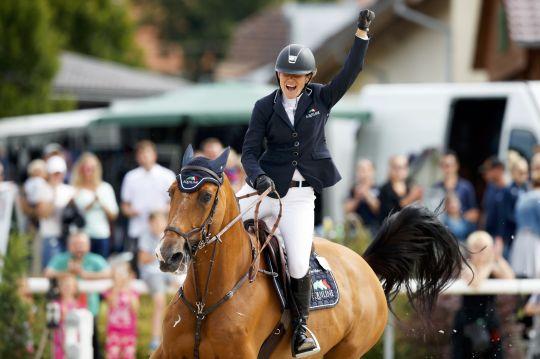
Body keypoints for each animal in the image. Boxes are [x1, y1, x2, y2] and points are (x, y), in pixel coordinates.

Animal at [153, 148, 464, 358]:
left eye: (206, 197)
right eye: (170, 192)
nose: (169, 255)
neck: (205, 301)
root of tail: (364, 265)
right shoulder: (167, 353)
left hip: (346, 352)